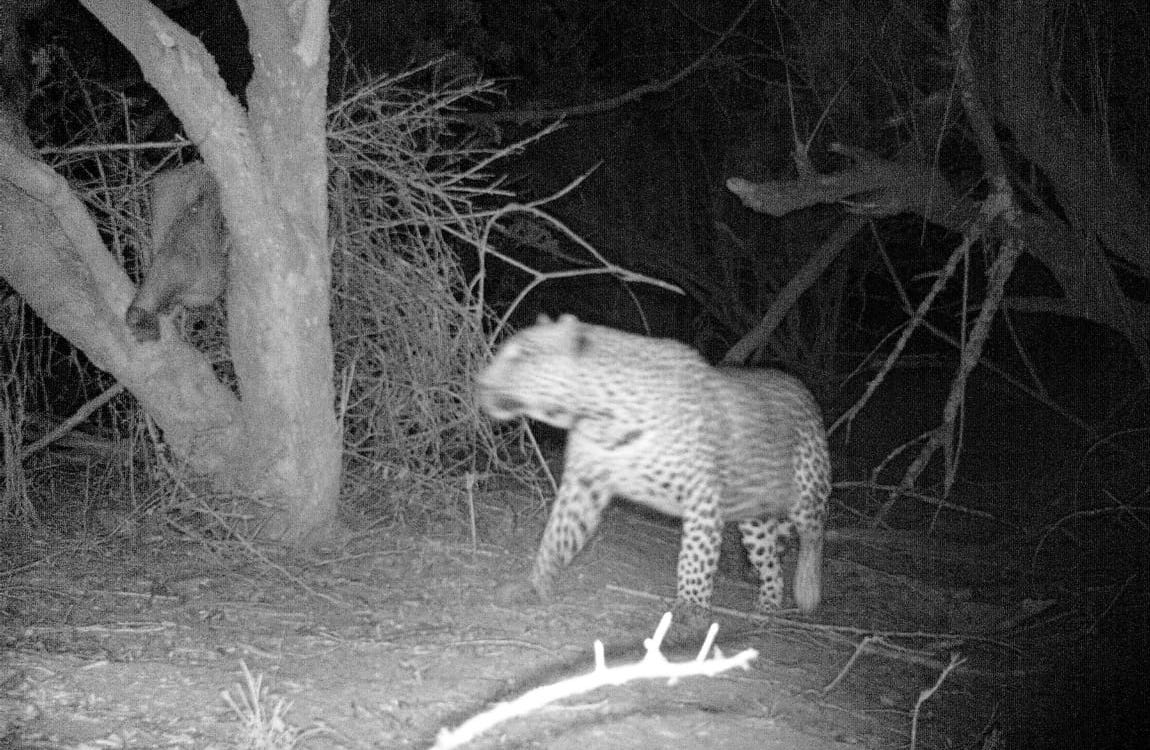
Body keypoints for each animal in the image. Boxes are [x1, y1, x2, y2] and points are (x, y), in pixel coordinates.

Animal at [471, 312, 832, 616]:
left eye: (523, 354)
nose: (479, 382)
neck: (598, 416)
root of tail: (803, 389)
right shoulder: (584, 483)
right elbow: (557, 535)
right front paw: (534, 585)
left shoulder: (702, 495)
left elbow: (695, 557)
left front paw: (689, 611)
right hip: (753, 517)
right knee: (770, 562)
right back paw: (767, 607)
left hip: (808, 489)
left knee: (813, 537)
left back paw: (808, 590)